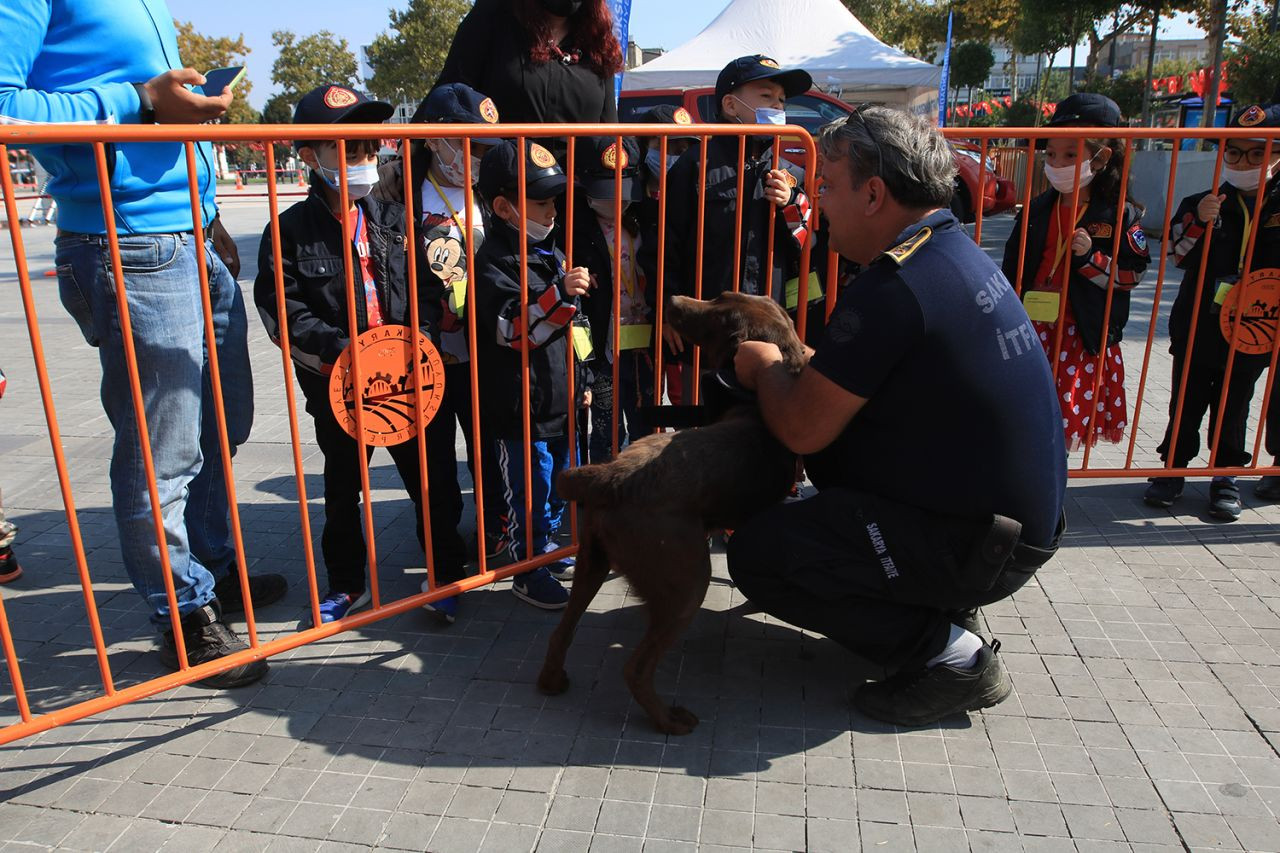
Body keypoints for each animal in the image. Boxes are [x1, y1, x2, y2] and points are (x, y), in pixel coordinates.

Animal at [535, 290, 803, 732]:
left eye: (720, 304)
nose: (674, 299)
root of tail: (612, 475)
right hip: (687, 582)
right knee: (636, 669)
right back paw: (670, 720)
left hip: (593, 560)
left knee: (562, 632)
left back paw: (552, 680)